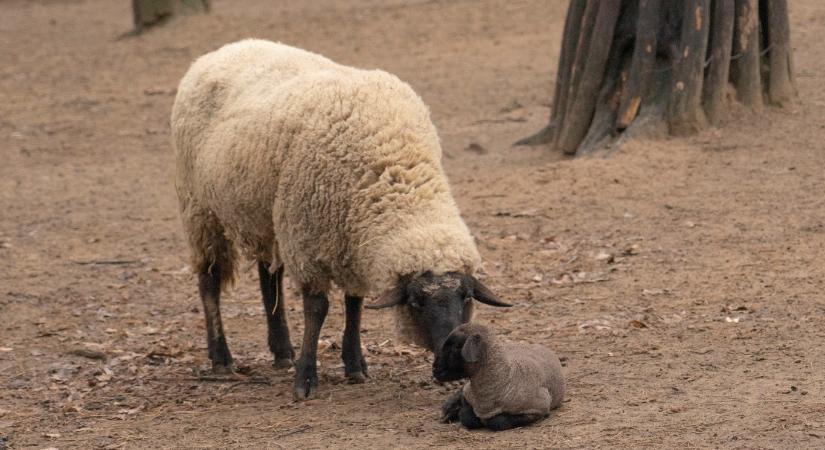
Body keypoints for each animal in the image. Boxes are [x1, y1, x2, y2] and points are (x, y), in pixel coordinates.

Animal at [171, 40, 512, 400]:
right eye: (417, 301)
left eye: (465, 297)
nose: (454, 359)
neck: (397, 169)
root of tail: (223, 50)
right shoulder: (307, 238)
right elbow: (317, 308)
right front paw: (306, 378)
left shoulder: (351, 238)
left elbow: (354, 304)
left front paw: (354, 364)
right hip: (200, 208)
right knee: (209, 280)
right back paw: (222, 358)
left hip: (265, 213)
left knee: (268, 276)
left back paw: (281, 350)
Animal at [434, 322, 564, 430]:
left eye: (455, 347)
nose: (435, 370)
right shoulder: (468, 394)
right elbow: (467, 417)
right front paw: (457, 411)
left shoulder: (538, 408)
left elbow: (497, 422)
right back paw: (449, 409)